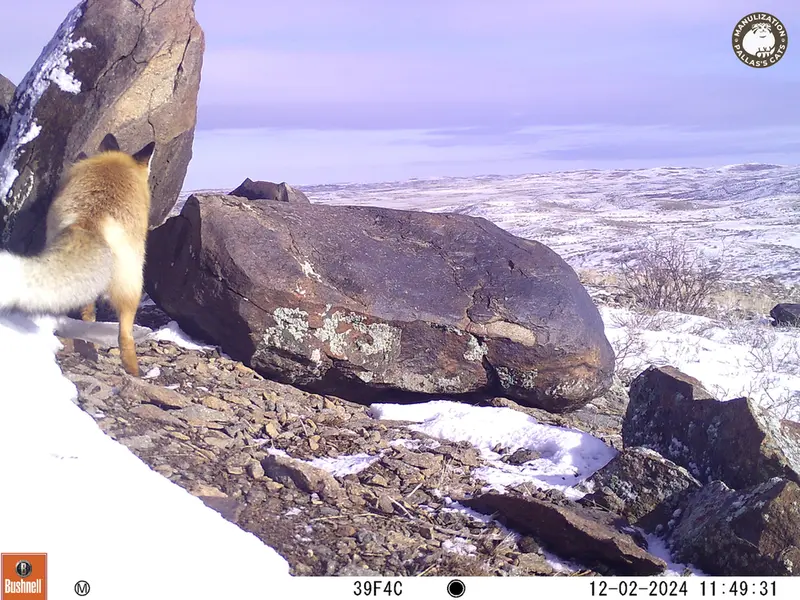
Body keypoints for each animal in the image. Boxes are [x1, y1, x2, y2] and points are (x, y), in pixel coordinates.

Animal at [0, 133, 155, 377]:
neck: (116, 163)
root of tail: (88, 222)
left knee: (84, 312)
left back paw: (87, 346)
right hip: (133, 284)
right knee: (124, 332)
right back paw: (133, 368)